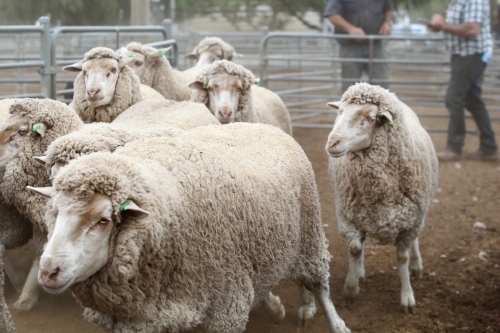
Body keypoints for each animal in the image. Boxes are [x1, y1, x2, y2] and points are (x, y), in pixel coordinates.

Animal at [29, 122, 350, 332]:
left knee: (319, 284)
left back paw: (332, 320)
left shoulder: (226, 304)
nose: (48, 271)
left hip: (308, 233)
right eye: (54, 212)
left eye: (103, 220)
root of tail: (261, 124)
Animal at [324, 81, 438, 312]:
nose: (332, 144)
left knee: (415, 242)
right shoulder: (350, 216)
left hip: (417, 214)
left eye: (368, 118)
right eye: (340, 112)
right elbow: (355, 248)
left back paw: (416, 264)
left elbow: (402, 257)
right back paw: (360, 271)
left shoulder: (408, 222)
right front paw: (351, 289)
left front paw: (407, 296)